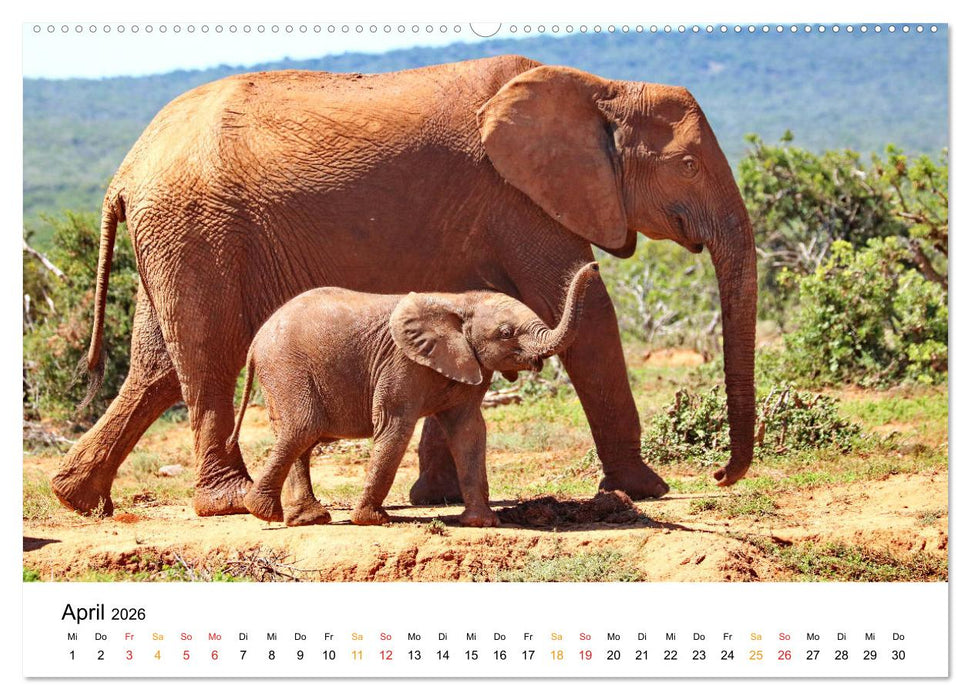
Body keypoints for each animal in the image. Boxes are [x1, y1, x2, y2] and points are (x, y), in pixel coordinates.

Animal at [227, 263, 599, 527]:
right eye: (506, 333)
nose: (595, 266)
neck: (457, 302)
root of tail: (256, 342)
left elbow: (469, 431)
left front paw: (482, 523)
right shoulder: (401, 362)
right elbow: (395, 427)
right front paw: (372, 520)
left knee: (300, 436)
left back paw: (307, 519)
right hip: (287, 368)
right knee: (301, 428)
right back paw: (263, 512)